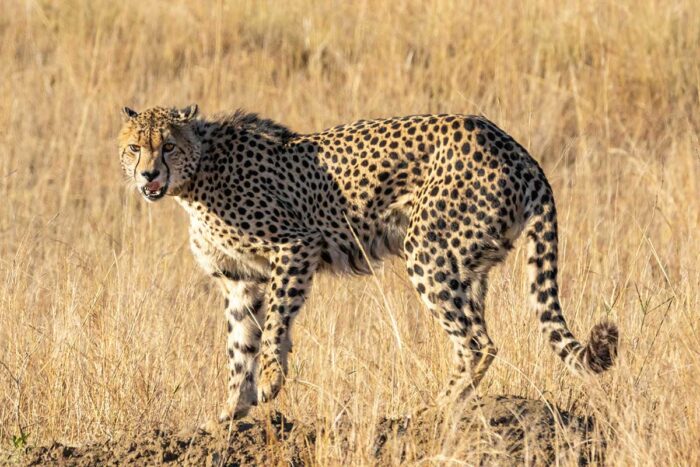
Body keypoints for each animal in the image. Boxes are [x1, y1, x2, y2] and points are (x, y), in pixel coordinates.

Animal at [117, 105, 618, 422]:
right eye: (134, 148)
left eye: (167, 146)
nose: (149, 174)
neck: (197, 176)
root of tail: (513, 146)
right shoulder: (241, 280)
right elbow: (239, 347)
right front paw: (230, 411)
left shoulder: (295, 246)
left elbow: (275, 323)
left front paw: (272, 380)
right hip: (468, 264)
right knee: (474, 338)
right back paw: (452, 405)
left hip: (428, 251)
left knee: (479, 343)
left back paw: (434, 410)